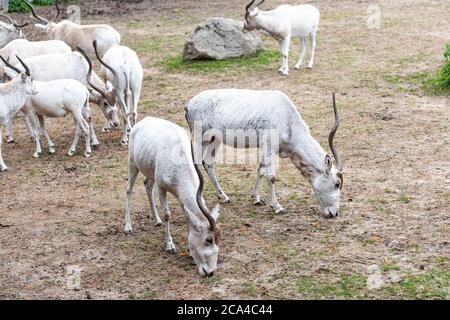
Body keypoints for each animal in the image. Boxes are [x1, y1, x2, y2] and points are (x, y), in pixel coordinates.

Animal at [125, 116, 223, 276]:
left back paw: (157, 220)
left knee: (147, 185)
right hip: (132, 164)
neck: (178, 154)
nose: (210, 272)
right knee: (129, 190)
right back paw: (128, 226)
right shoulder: (161, 188)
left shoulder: (182, 197)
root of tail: (144, 120)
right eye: (208, 240)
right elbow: (167, 214)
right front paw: (170, 245)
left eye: (219, 239)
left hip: (150, 171)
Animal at [185, 90, 342, 218]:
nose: (334, 213)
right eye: (336, 184)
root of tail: (189, 104)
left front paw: (256, 198)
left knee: (208, 163)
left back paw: (224, 197)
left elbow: (260, 170)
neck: (286, 117)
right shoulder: (269, 145)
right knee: (195, 163)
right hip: (201, 138)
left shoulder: (267, 147)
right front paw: (277, 207)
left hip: (214, 140)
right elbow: (271, 177)